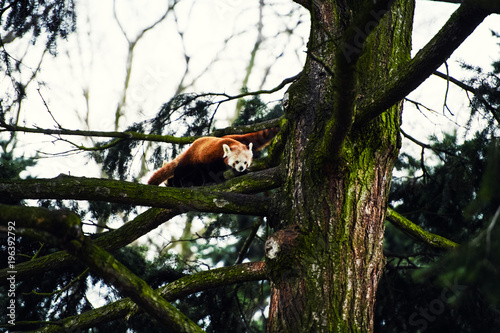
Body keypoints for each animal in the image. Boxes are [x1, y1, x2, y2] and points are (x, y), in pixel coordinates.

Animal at [148, 126, 280, 185]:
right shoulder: (212, 157)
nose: (241, 168)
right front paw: (215, 180)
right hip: (191, 159)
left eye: (245, 163)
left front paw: (241, 173)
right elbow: (211, 170)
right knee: (182, 170)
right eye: (237, 162)